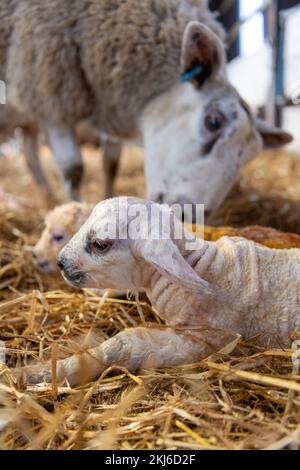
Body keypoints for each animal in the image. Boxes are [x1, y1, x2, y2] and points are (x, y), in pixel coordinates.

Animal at [18, 197, 300, 386]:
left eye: (100, 244)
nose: (61, 262)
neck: (208, 268)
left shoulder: (207, 341)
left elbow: (126, 342)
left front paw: (45, 372)